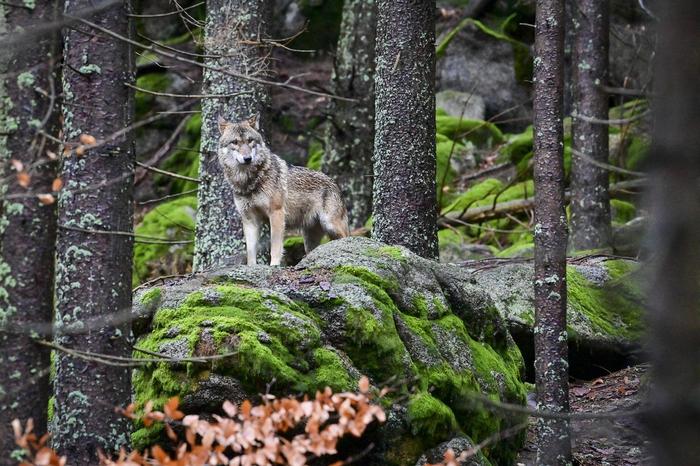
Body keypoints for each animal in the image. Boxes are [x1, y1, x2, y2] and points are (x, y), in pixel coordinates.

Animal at [217, 114, 348, 266]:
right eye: (235, 142)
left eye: (250, 140)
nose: (248, 158)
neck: (248, 181)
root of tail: (335, 184)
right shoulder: (249, 219)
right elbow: (250, 252)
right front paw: (251, 267)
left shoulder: (276, 213)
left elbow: (275, 246)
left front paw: (274, 265)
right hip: (310, 239)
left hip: (331, 225)